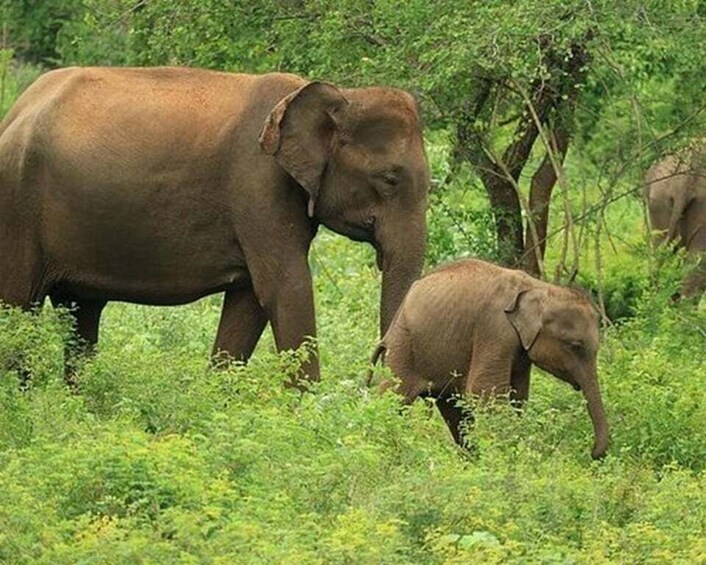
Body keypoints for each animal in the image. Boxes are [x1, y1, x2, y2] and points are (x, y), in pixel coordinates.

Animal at [0, 67, 429, 386]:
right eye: (390, 179)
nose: (368, 380)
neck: (336, 93)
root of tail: (15, 111)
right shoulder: (259, 186)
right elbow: (286, 288)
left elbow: (250, 300)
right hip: (18, 206)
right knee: (18, 306)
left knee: (81, 311)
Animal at [369, 259, 610, 459]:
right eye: (575, 346)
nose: (592, 453)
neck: (539, 288)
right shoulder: (495, 329)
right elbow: (485, 391)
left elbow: (518, 396)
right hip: (403, 347)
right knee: (395, 397)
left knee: (454, 411)